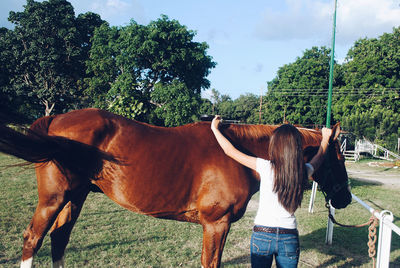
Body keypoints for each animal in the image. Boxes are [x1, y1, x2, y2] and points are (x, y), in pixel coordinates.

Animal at [0, 108, 350, 266]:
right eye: (336, 157)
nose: (345, 198)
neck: (237, 155)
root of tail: (55, 119)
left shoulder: (217, 226)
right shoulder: (216, 224)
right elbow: (210, 262)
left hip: (76, 196)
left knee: (59, 238)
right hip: (55, 197)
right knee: (33, 238)